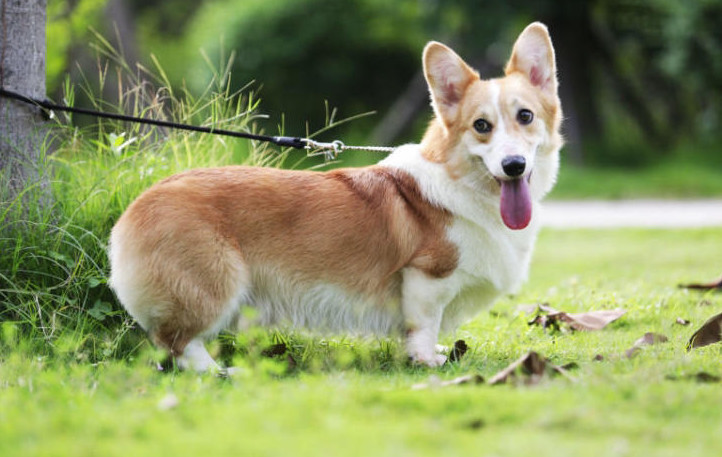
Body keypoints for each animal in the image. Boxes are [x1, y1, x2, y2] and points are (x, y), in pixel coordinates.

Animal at [108, 22, 564, 370]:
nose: (513, 166)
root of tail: (131, 213)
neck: (462, 183)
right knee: (177, 342)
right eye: (481, 126)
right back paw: (219, 371)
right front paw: (427, 360)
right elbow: (423, 324)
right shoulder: (426, 278)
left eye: (525, 116)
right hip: (217, 282)